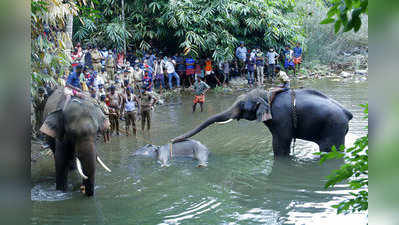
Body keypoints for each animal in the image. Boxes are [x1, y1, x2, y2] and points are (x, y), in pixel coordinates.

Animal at [172, 88, 354, 156]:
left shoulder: (281, 118)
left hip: (333, 128)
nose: (173, 140)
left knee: (330, 150)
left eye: (242, 105)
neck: (267, 95)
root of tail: (347, 113)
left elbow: (282, 142)